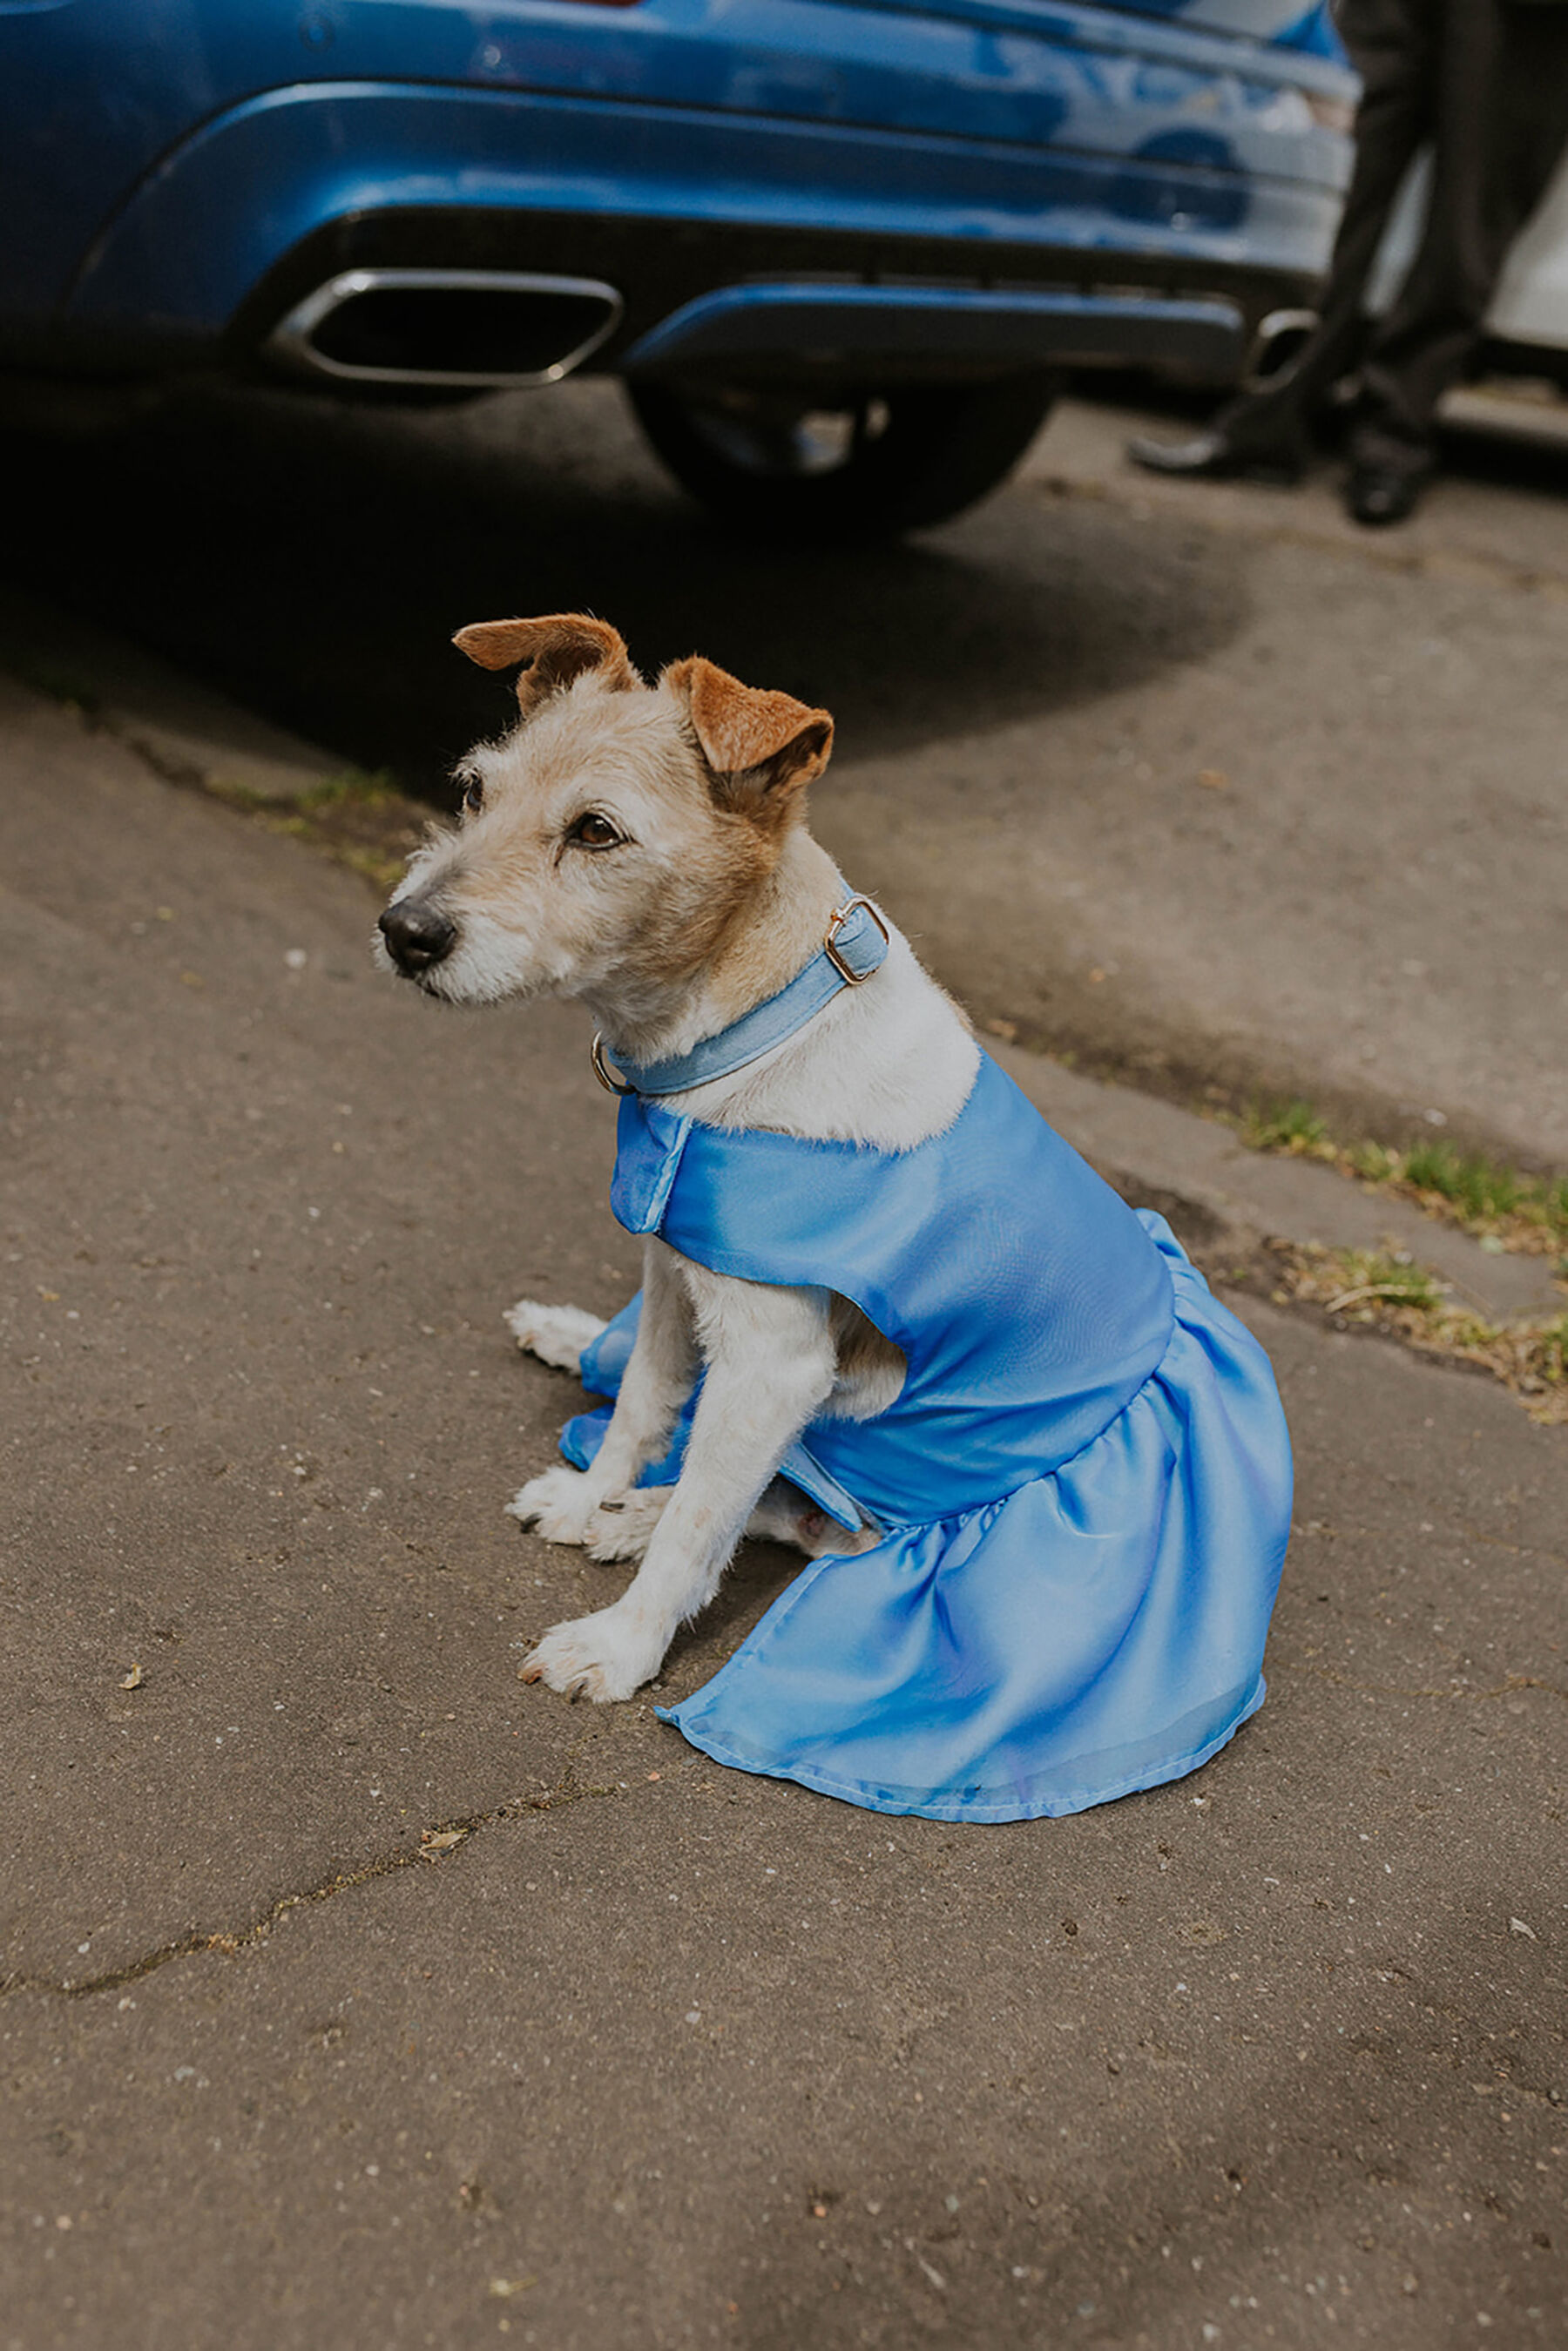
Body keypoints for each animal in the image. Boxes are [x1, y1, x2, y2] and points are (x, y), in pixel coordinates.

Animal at [374, 616, 973, 1702]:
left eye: (596, 831)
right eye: (475, 790)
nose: (405, 931)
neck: (756, 1031)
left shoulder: (775, 1363)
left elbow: (702, 1519)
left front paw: (621, 1642)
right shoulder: (672, 1271)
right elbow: (645, 1402)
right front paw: (594, 1495)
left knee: (814, 1522)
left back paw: (639, 1525)